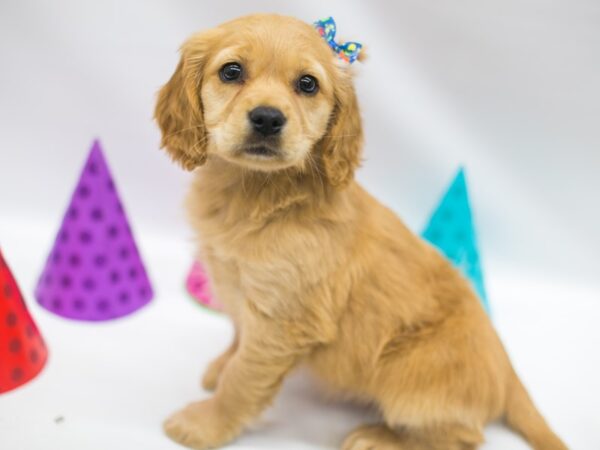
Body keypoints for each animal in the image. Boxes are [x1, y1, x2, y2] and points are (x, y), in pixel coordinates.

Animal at [155, 12, 568, 448]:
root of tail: (507, 372)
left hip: (409, 377)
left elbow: (242, 379)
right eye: (231, 72)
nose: (268, 118)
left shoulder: (282, 320)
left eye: (307, 84)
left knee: (462, 436)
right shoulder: (240, 291)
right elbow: (237, 337)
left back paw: (380, 437)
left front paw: (204, 423)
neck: (254, 192)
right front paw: (220, 366)